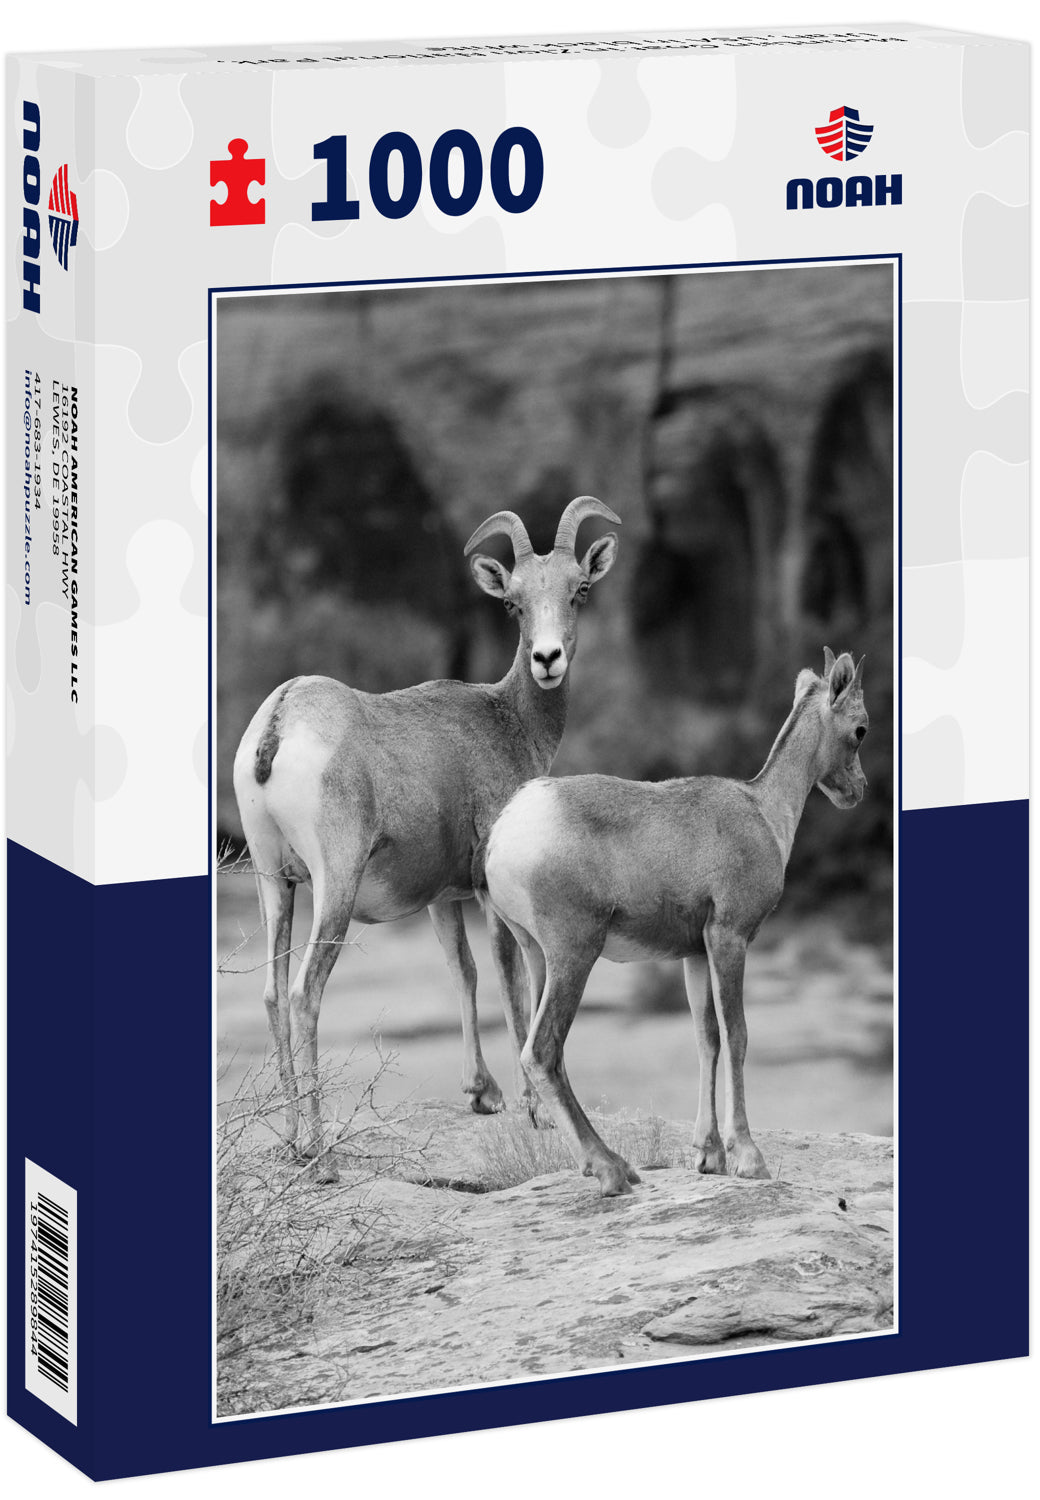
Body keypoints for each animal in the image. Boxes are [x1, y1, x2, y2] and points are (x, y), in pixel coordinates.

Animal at [232, 496, 620, 1179]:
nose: (548, 659)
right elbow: (511, 978)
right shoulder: (491, 893)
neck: (506, 721)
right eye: (514, 603)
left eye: (578, 591)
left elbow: (462, 971)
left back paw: (290, 1141)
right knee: (305, 993)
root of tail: (277, 723)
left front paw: (481, 1094)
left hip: (274, 884)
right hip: (333, 889)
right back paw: (319, 1155)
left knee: (275, 994)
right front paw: (535, 1112)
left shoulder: (442, 899)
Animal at [484, 649, 868, 1197]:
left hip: (537, 957)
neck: (765, 813)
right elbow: (738, 1035)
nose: (858, 790)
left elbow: (707, 1038)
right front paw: (749, 1159)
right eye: (861, 729)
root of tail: (507, 829)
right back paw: (613, 1170)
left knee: (539, 1051)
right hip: (574, 954)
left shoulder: (694, 954)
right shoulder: (730, 938)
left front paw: (710, 1157)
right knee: (542, 1052)